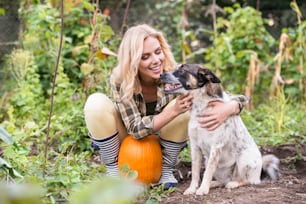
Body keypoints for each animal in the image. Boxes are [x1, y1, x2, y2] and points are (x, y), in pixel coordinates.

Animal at [160, 64, 280, 195]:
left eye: (182, 70)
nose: (161, 74)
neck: (200, 106)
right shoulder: (195, 146)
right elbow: (195, 171)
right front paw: (192, 189)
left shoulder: (216, 146)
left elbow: (208, 171)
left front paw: (202, 189)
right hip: (209, 161)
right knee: (222, 181)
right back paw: (214, 184)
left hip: (243, 161)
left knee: (246, 181)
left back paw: (232, 184)